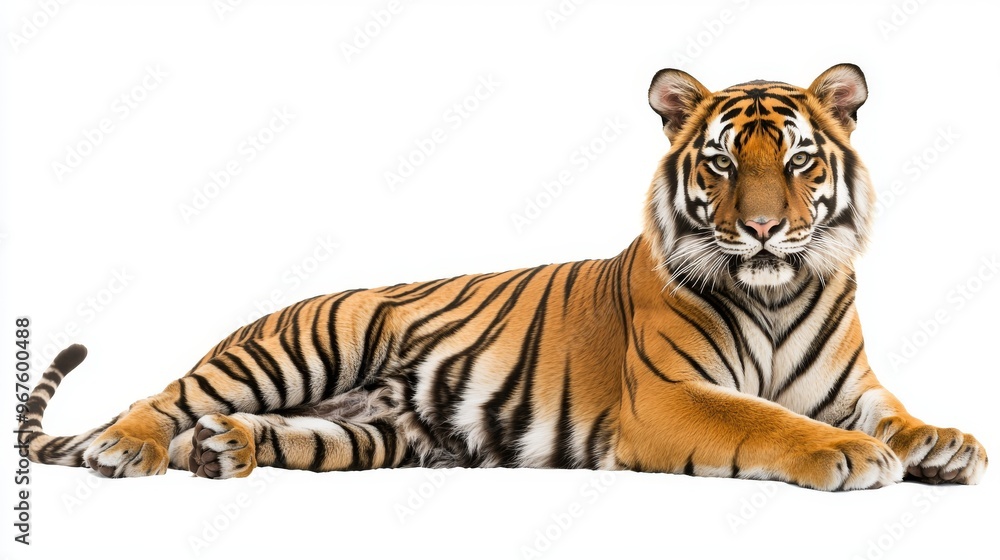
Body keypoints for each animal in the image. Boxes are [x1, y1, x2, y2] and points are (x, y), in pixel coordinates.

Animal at [20, 63, 987, 491]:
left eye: (795, 161)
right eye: (719, 164)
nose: (761, 229)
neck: (781, 289)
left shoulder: (853, 385)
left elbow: (898, 415)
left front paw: (945, 444)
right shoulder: (669, 396)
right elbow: (767, 419)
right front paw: (848, 455)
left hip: (376, 432)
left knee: (263, 431)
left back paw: (227, 450)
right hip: (295, 348)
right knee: (161, 397)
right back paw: (128, 449)